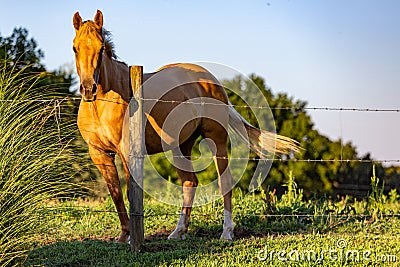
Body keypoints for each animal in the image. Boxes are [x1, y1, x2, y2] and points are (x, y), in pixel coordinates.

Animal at [72, 10, 298, 244]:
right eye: (75, 48)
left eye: (101, 48)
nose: (88, 89)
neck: (103, 103)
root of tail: (212, 81)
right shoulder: (99, 154)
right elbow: (115, 193)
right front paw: (124, 235)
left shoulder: (127, 152)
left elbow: (128, 193)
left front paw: (130, 237)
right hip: (181, 147)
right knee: (190, 183)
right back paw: (178, 231)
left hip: (216, 139)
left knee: (224, 182)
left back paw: (227, 232)